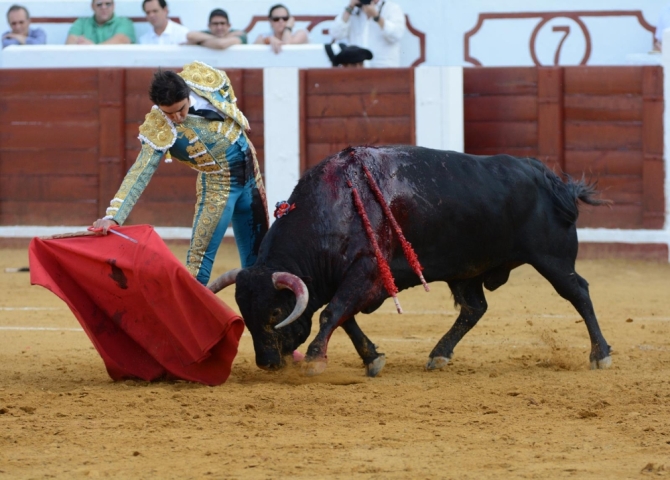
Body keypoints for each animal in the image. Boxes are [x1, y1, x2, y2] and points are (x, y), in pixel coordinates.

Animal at [211, 144, 616, 376]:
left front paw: (314, 359)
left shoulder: (365, 272)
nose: (267, 363)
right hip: (466, 270)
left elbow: (332, 313)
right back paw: (439, 355)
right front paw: (371, 358)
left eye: (276, 313)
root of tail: (552, 181)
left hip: (552, 259)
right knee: (474, 308)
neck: (333, 207)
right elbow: (344, 318)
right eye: (244, 314)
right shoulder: (351, 280)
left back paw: (600, 355)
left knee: (579, 293)